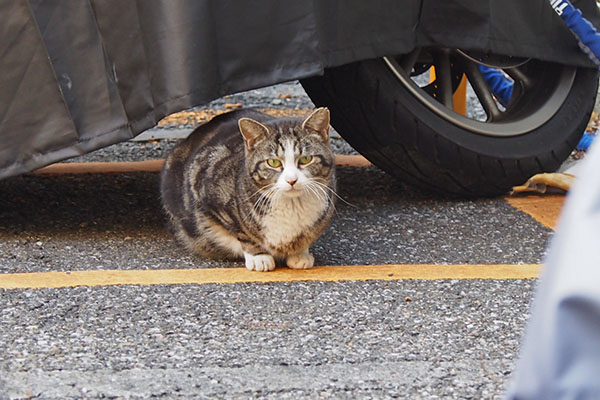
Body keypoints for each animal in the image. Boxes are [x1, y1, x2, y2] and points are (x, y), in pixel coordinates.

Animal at [159, 108, 338, 272]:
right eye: (273, 162)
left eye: (306, 159)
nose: (292, 180)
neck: (292, 205)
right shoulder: (205, 189)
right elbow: (241, 232)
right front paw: (259, 256)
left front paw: (300, 253)